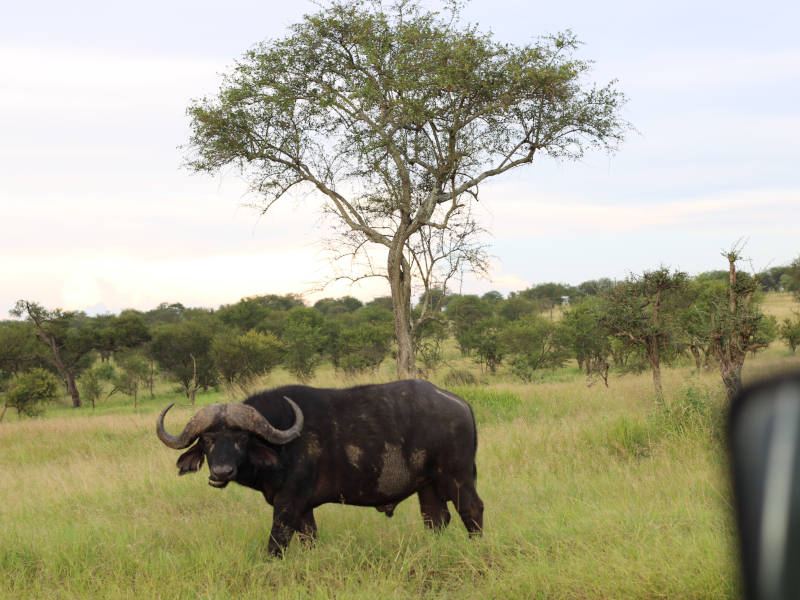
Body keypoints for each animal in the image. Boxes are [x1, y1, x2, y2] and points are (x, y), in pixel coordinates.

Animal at [155, 380, 482, 552]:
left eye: (241, 438)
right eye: (208, 439)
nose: (221, 473)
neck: (282, 440)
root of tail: (461, 404)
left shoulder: (288, 503)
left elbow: (276, 543)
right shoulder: (304, 509)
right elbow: (309, 539)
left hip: (458, 478)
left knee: (472, 510)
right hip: (428, 487)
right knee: (436, 519)